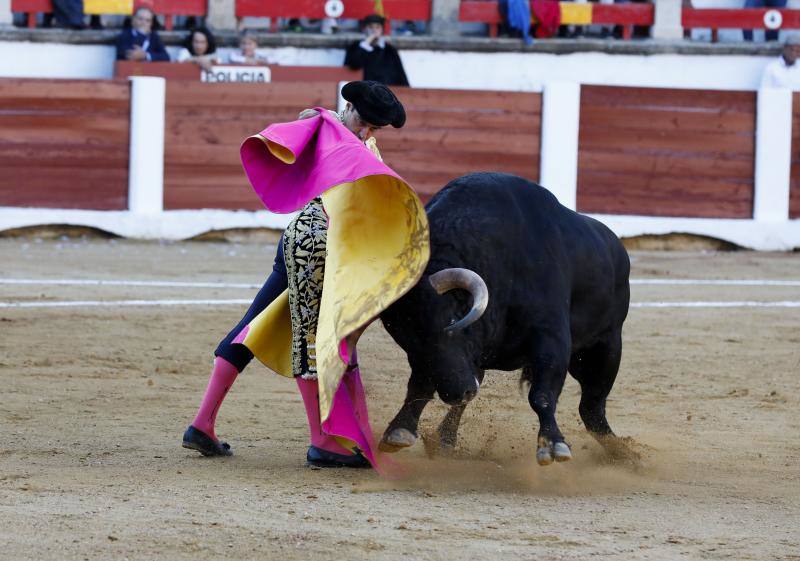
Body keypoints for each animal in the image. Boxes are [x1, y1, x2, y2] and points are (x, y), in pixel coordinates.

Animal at [376, 172, 632, 464]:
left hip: (606, 347)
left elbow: (542, 394)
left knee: (592, 407)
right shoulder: (445, 357)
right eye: (406, 339)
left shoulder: (551, 336)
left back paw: (625, 455)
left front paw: (553, 445)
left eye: (452, 319)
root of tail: (616, 247)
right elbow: (419, 385)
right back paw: (444, 438)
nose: (457, 392)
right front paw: (400, 430)